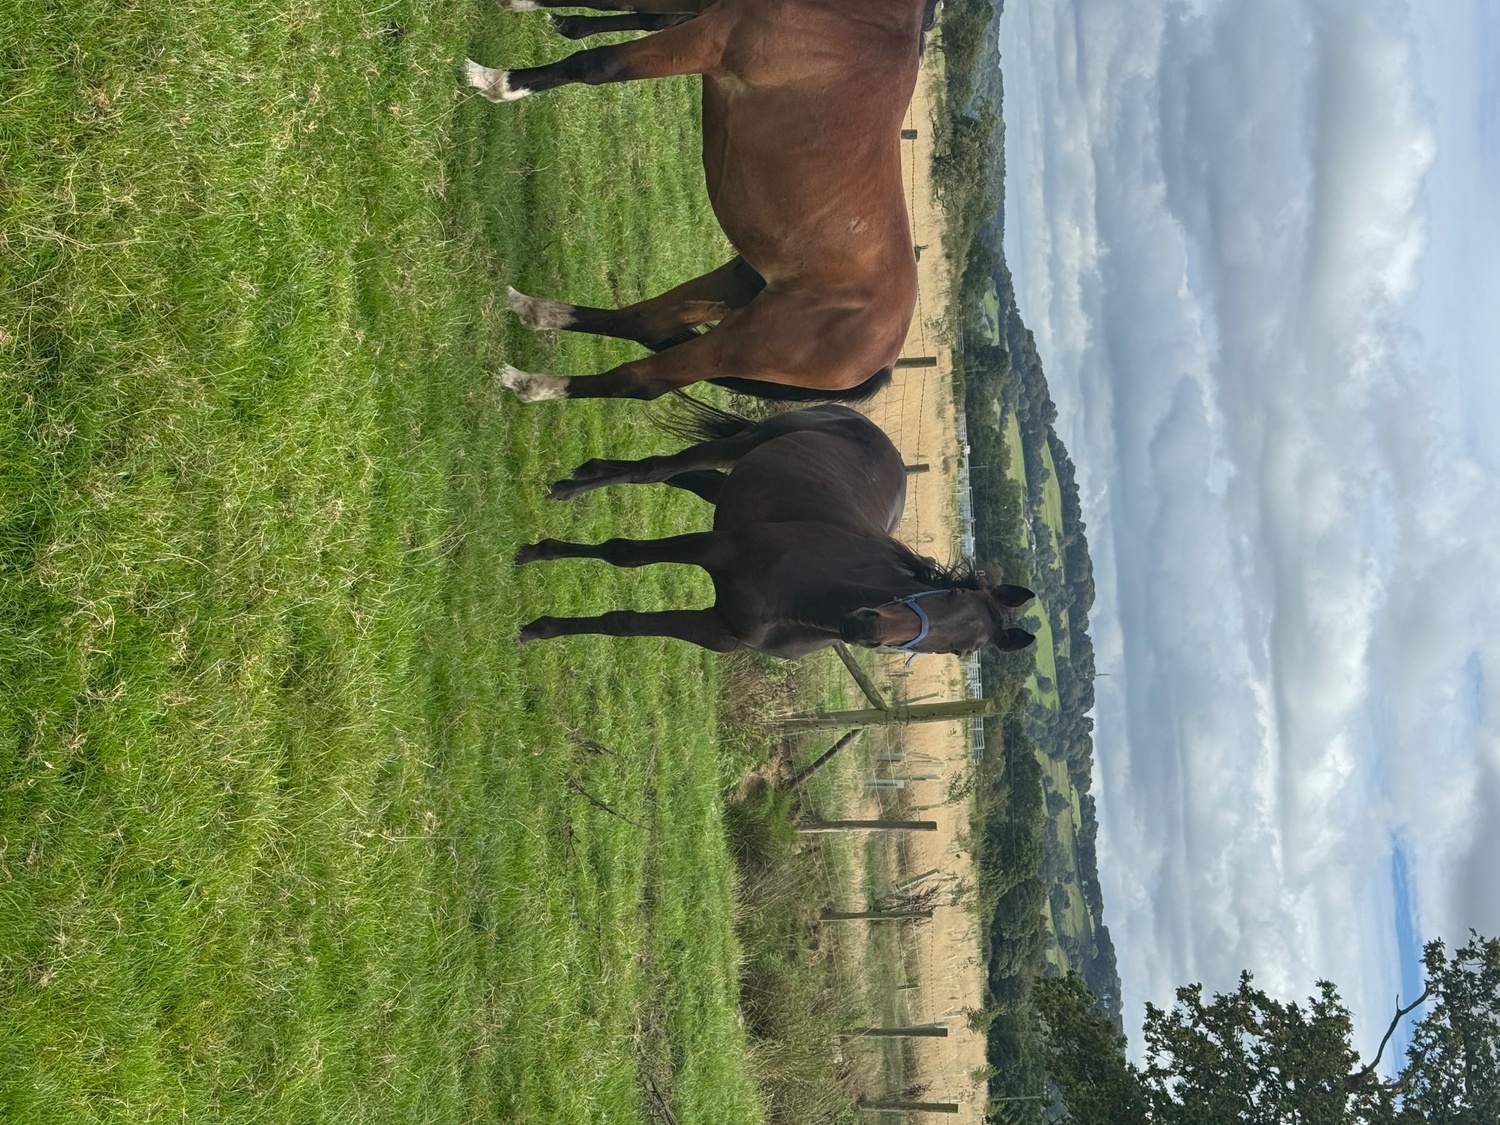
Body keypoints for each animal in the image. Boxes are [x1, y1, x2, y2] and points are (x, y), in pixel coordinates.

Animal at [465, 0, 939, 403]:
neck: (861, 20)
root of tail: (884, 358)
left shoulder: (707, 38)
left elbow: (596, 64)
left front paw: (498, 82)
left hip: (737, 345)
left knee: (639, 381)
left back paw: (532, 385)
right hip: (733, 282)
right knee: (641, 321)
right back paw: (535, 310)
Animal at [515, 401, 1039, 658]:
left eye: (960, 651)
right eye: (947, 594)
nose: (865, 626)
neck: (803, 605)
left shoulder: (718, 631)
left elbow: (621, 624)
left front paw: (541, 630)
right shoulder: (717, 548)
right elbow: (624, 554)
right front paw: (537, 554)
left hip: (732, 487)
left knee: (685, 477)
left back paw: (589, 472)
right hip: (748, 442)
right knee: (658, 470)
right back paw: (571, 489)